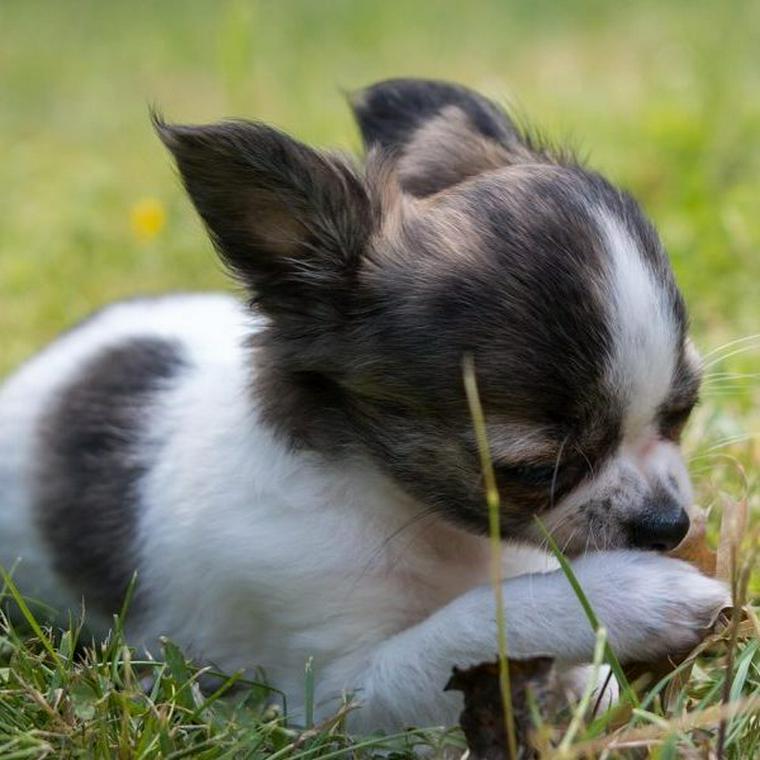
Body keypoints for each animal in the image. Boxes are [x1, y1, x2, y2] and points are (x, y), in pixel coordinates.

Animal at [0, 78, 724, 732]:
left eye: (683, 412)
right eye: (533, 470)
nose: (667, 526)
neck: (427, 524)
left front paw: (587, 688)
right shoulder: (337, 692)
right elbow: (480, 621)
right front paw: (634, 598)